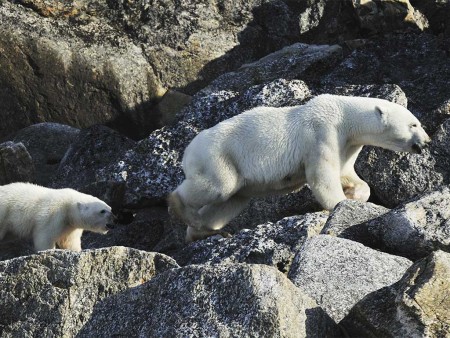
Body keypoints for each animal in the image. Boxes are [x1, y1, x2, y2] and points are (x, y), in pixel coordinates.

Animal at [170, 94, 432, 243]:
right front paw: (338, 204)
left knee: (231, 200)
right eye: (414, 124)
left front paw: (354, 194)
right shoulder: (322, 133)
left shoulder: (348, 144)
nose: (427, 141)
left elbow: (346, 173)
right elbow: (322, 175)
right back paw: (181, 208)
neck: (345, 116)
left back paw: (204, 230)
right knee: (219, 186)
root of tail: (187, 152)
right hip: (219, 156)